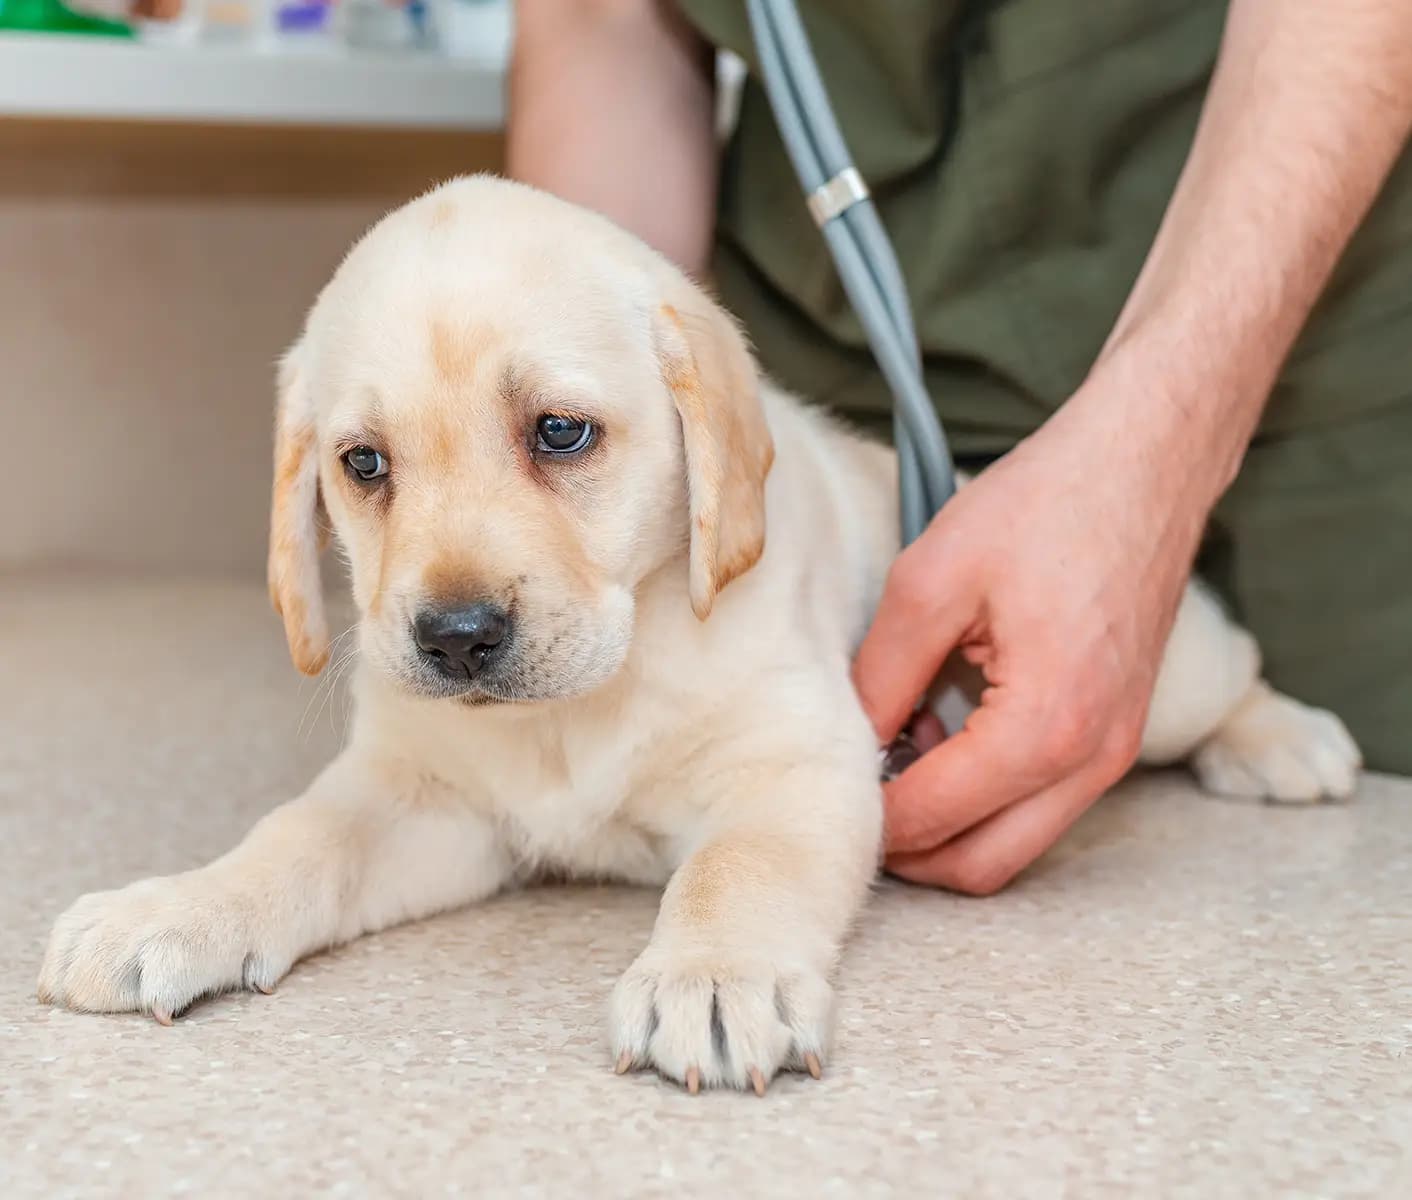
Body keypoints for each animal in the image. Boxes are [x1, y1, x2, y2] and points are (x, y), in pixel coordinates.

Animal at [41, 175, 1355, 1084]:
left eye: (560, 433)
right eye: (362, 465)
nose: (454, 637)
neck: (589, 699)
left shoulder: (800, 764)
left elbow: (737, 867)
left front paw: (713, 978)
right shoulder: (420, 799)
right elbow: (293, 840)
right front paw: (174, 907)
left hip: (1166, 670)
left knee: (1219, 666)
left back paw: (1287, 742)